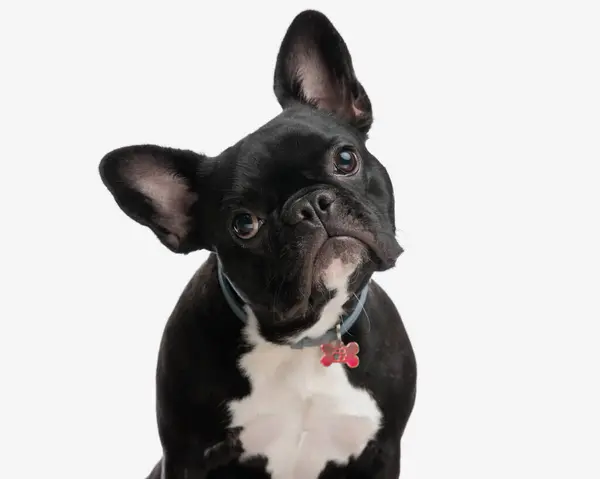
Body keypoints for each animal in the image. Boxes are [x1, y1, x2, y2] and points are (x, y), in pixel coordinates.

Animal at [99, 8, 418, 479]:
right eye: (244, 224)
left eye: (345, 159)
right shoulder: (184, 457)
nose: (310, 206)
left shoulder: (382, 451)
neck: (303, 341)